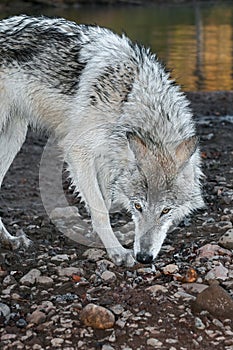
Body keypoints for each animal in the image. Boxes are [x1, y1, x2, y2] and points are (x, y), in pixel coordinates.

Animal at [0, 14, 204, 266]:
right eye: (138, 206)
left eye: (166, 211)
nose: (144, 257)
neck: (129, 99)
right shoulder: (78, 152)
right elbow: (99, 208)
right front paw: (116, 251)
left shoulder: (107, 161)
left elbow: (104, 202)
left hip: (15, 136)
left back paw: (8, 240)